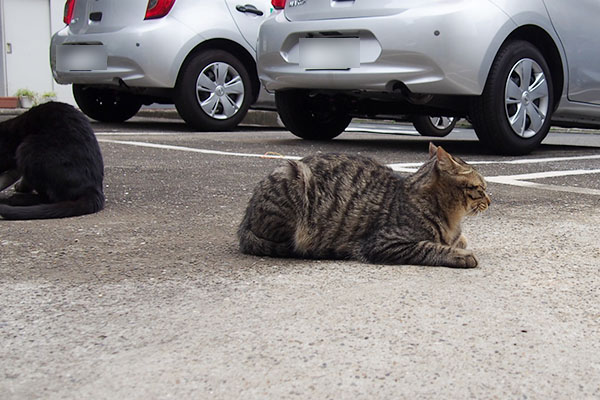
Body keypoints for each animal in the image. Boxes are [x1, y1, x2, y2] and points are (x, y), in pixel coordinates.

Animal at [237, 144, 490, 268]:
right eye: (480, 188)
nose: (489, 200)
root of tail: (244, 224)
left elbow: (458, 239)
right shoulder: (384, 243)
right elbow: (429, 247)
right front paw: (459, 255)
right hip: (294, 179)